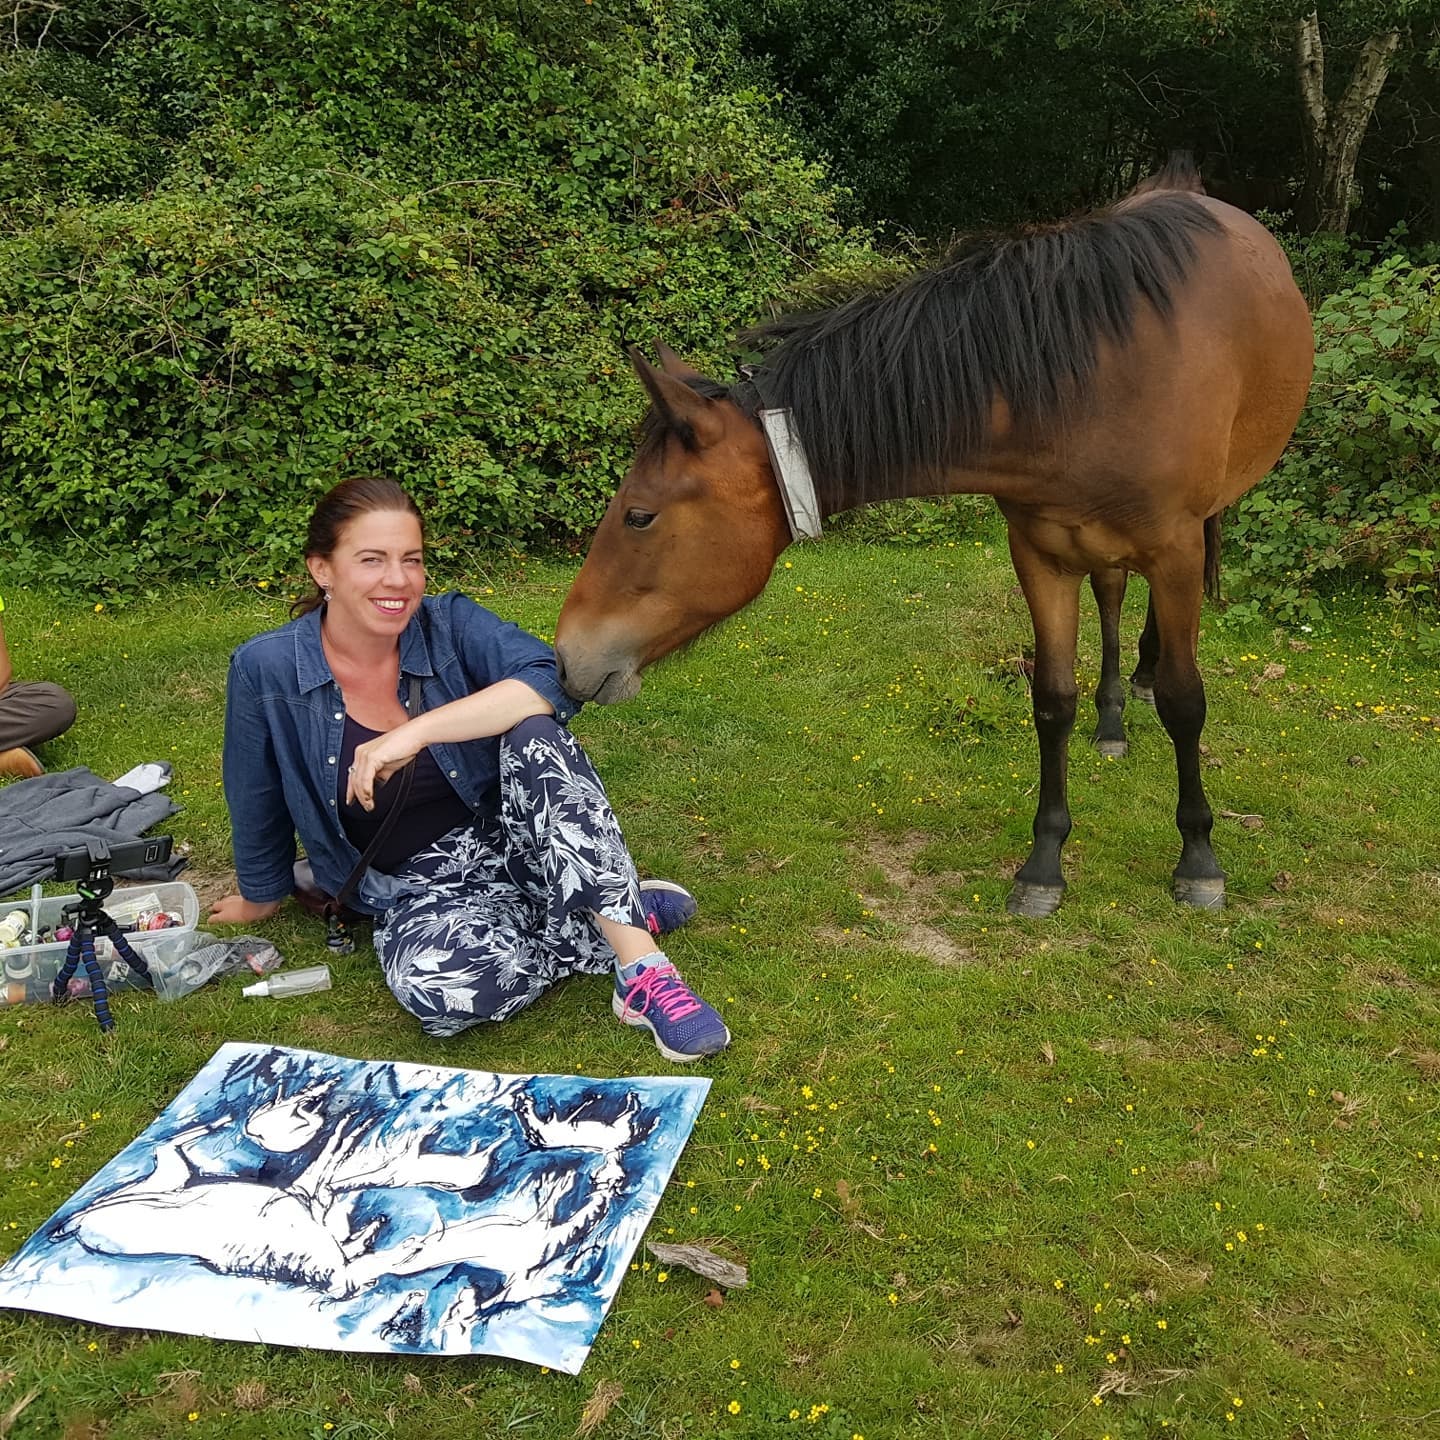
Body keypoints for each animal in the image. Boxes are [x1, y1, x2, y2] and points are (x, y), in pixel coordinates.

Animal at [552, 163, 1319, 915]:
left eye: (639, 516)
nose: (566, 655)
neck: (1087, 384)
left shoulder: (1174, 549)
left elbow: (1188, 703)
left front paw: (1199, 858)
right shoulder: (1040, 554)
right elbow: (1051, 700)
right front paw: (1044, 864)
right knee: (1109, 594)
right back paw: (1112, 720)